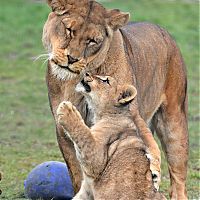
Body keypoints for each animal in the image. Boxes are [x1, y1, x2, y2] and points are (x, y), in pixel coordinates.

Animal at [43, 0, 188, 198]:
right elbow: (77, 173)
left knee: (178, 178)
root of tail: (162, 29)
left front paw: (154, 168)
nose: (72, 58)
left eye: (92, 41)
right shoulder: (62, 132)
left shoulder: (130, 110)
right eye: (69, 30)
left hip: (174, 122)